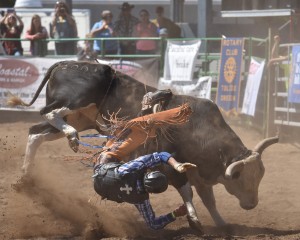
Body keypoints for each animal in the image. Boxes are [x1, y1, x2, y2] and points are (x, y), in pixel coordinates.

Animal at [7, 60, 278, 232]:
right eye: (241, 177)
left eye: (260, 176)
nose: (251, 204)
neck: (199, 129)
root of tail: (63, 64)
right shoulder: (172, 165)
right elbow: (187, 192)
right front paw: (194, 220)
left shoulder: (199, 172)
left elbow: (208, 198)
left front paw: (221, 224)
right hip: (74, 101)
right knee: (48, 112)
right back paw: (70, 137)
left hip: (80, 117)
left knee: (35, 133)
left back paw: (27, 175)